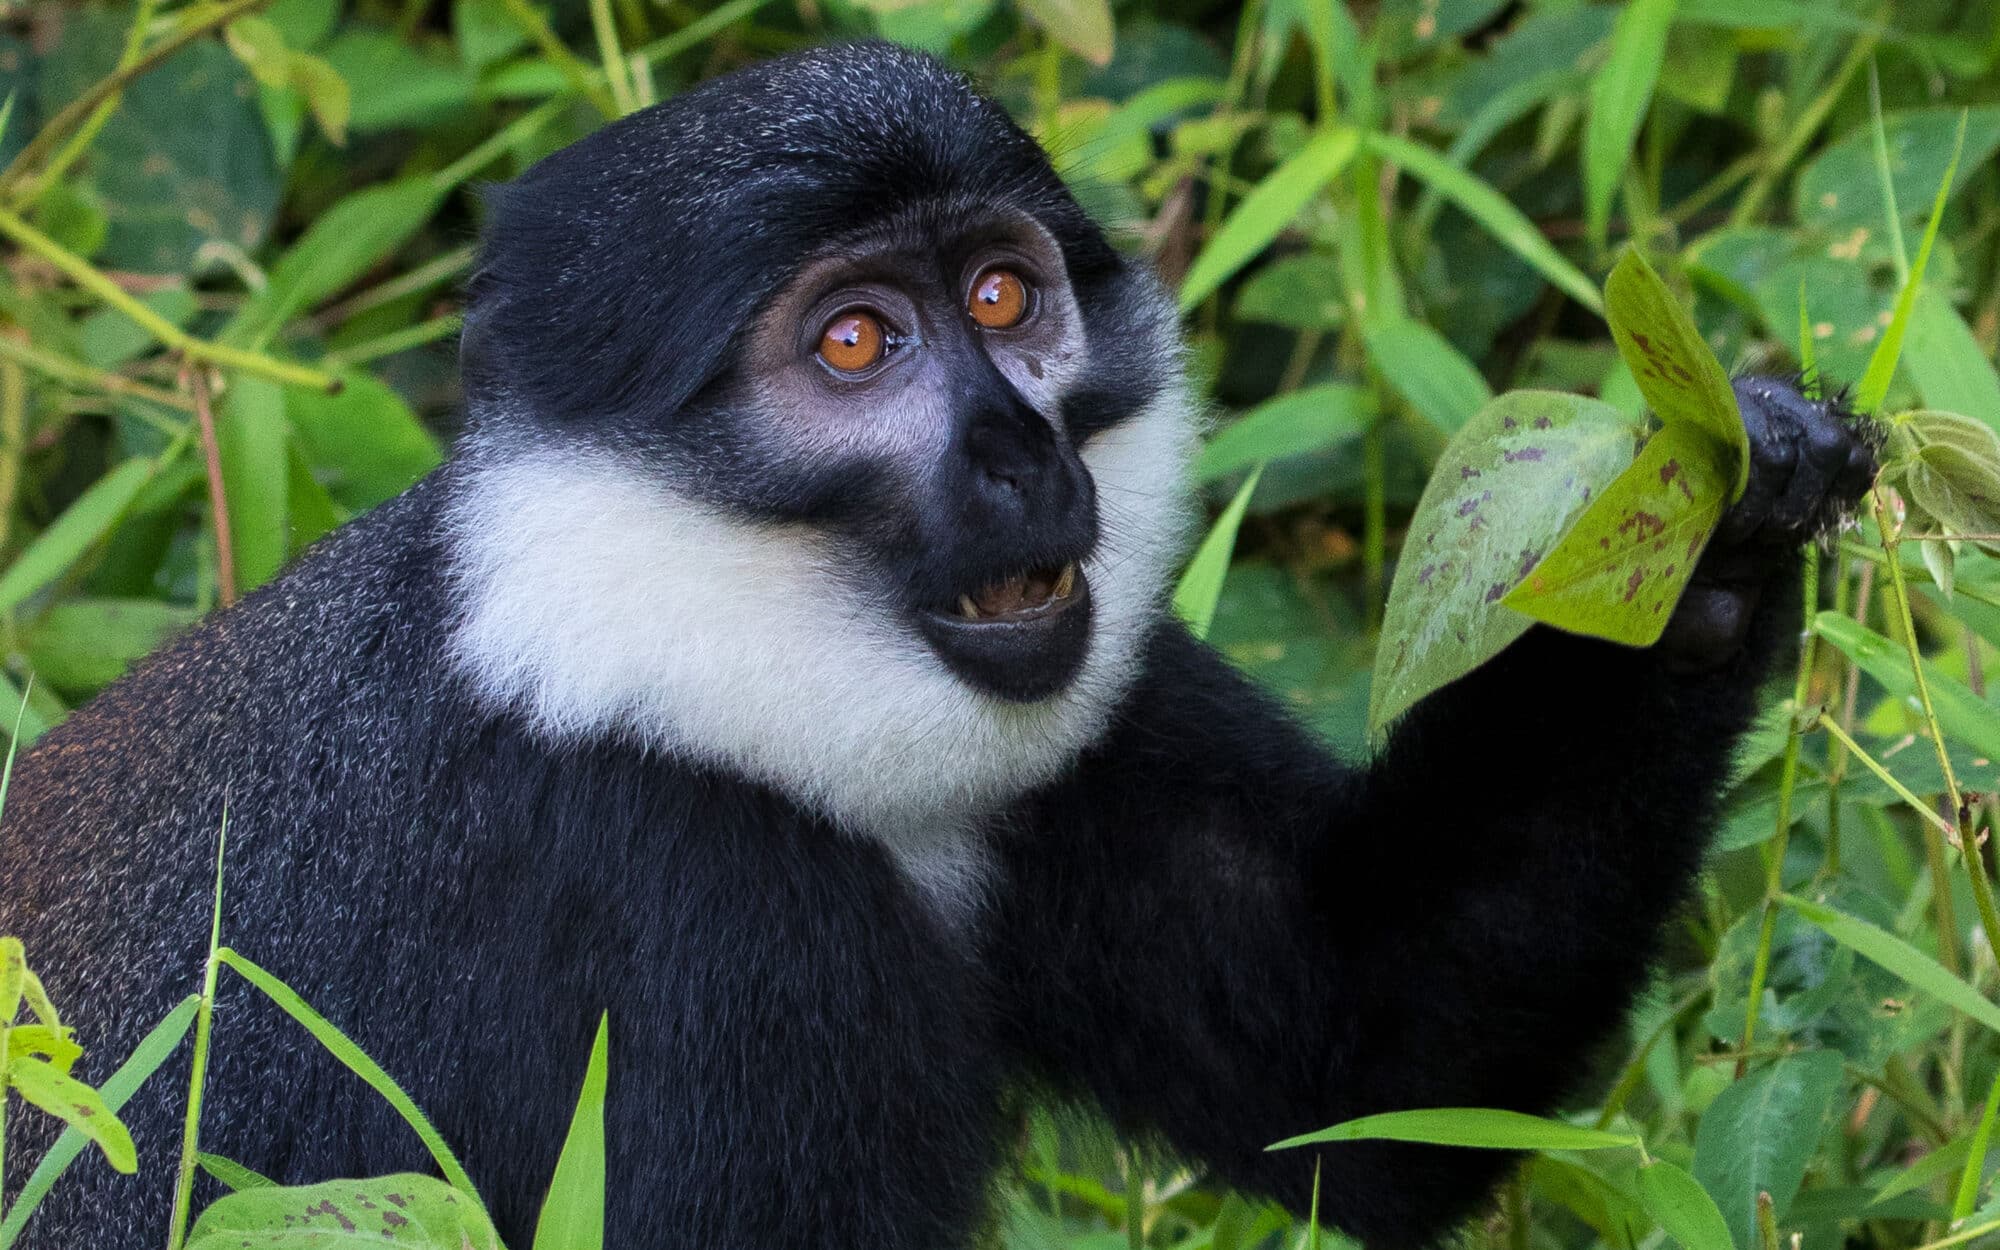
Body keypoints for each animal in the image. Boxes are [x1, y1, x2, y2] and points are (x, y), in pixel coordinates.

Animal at [0, 40, 1875, 1250]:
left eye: (998, 297)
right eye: (853, 343)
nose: (1024, 455)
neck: (657, 661)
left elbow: (1366, 1068)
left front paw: (1719, 506)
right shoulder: (685, 929)